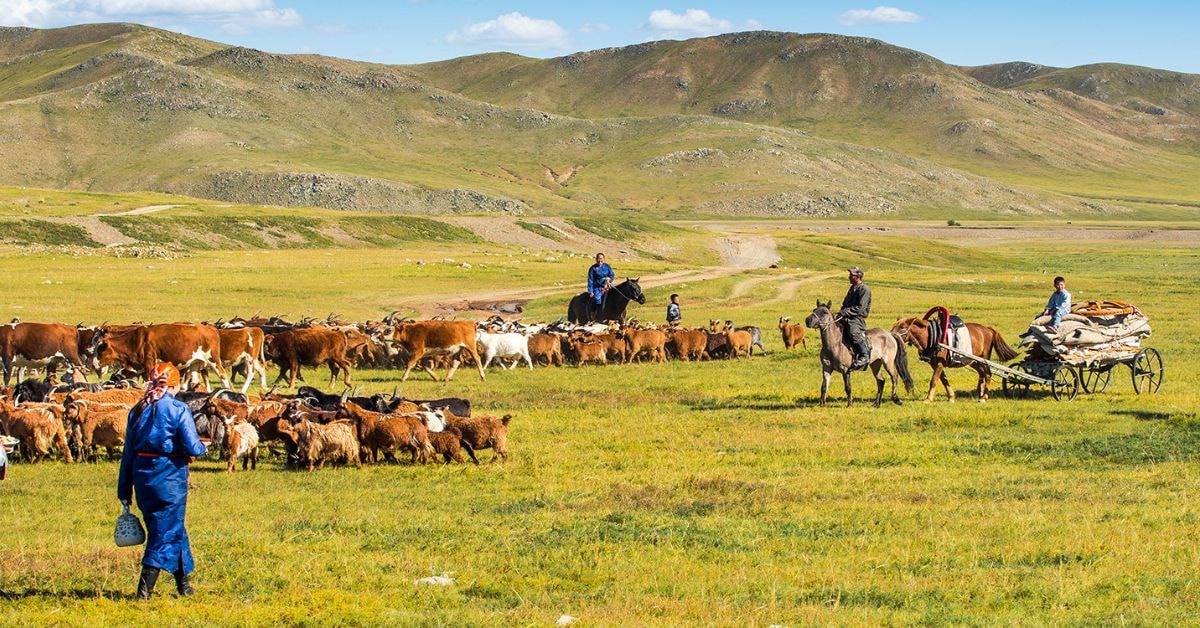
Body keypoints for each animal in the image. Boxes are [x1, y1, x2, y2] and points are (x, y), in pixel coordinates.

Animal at [93, 326, 229, 391]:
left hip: (213, 360)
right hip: (195, 362)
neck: (135, 341)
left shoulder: (149, 363)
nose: (93, 364)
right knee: (195, 380)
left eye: (100, 349)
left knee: (223, 375)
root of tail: (211, 329)